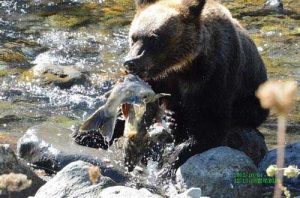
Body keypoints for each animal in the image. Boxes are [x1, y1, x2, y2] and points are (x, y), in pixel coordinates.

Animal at [123, 0, 268, 175]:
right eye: (133, 37)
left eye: (154, 38)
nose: (130, 62)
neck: (183, 66)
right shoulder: (162, 80)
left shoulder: (213, 75)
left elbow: (210, 125)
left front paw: (169, 165)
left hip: (252, 99)